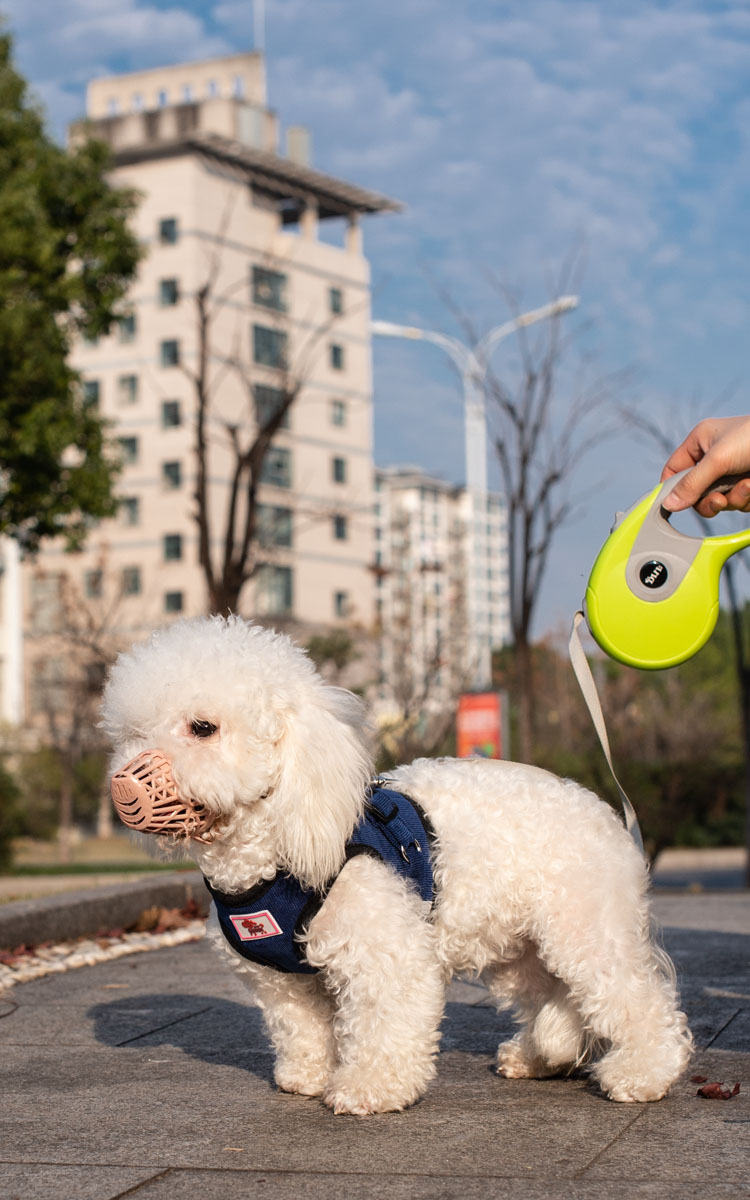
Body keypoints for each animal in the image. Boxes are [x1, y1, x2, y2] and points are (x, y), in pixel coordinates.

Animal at [99, 619, 691, 1113]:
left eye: (202, 727)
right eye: (132, 734)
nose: (125, 783)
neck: (271, 850)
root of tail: (609, 815)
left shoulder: (387, 954)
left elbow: (385, 1026)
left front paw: (369, 1089)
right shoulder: (281, 981)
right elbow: (301, 1027)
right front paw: (307, 1076)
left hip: (583, 926)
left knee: (638, 999)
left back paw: (643, 1074)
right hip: (519, 946)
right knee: (557, 999)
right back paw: (540, 1055)